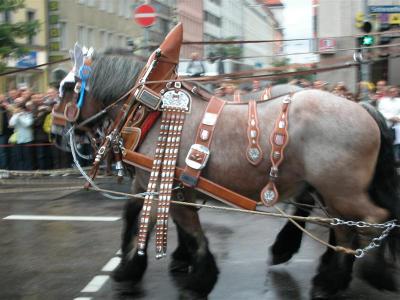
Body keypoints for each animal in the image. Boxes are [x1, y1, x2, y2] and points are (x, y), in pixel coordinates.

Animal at [51, 40, 398, 300]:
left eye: (68, 87)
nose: (54, 132)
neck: (152, 110)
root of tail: (362, 105)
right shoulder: (151, 182)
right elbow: (137, 219)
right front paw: (129, 269)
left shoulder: (171, 186)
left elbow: (191, 232)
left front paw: (196, 280)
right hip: (328, 189)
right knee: (342, 226)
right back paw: (324, 272)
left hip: (340, 189)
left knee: (372, 220)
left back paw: (351, 275)